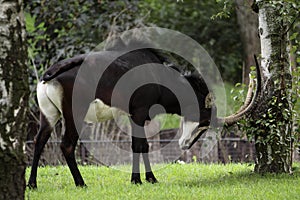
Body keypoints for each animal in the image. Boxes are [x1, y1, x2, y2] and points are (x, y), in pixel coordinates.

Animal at [28, 38, 262, 188]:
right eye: (204, 121)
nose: (185, 145)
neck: (158, 76)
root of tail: (51, 74)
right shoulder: (139, 113)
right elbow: (138, 145)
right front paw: (139, 180)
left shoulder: (138, 115)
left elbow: (144, 145)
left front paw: (147, 179)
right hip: (74, 115)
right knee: (67, 145)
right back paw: (81, 183)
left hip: (49, 116)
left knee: (39, 141)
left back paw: (32, 185)